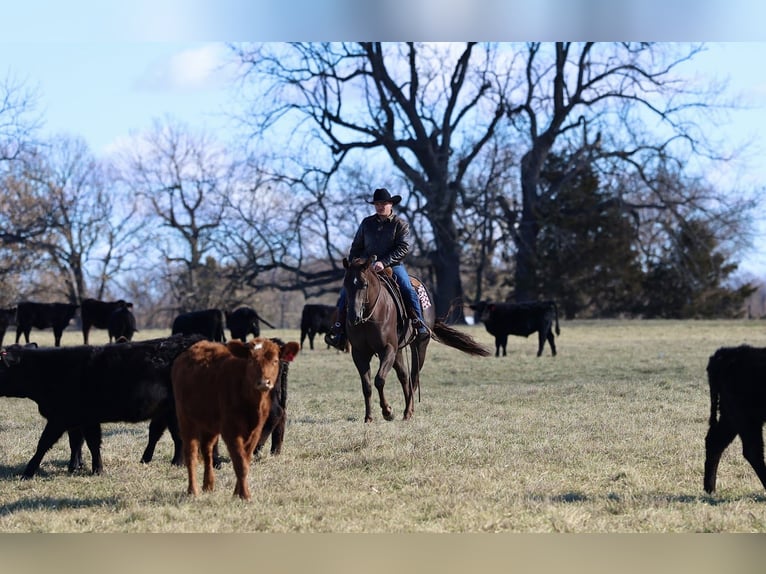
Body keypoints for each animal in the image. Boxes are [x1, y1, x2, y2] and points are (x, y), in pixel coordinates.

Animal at [342, 256, 491, 422]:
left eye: (364, 284)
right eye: (346, 284)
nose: (353, 316)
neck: (371, 316)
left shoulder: (388, 349)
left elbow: (379, 380)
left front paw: (387, 412)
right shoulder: (359, 353)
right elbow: (367, 386)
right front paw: (368, 417)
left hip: (419, 345)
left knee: (413, 377)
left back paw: (408, 411)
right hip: (398, 351)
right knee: (404, 376)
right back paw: (407, 410)